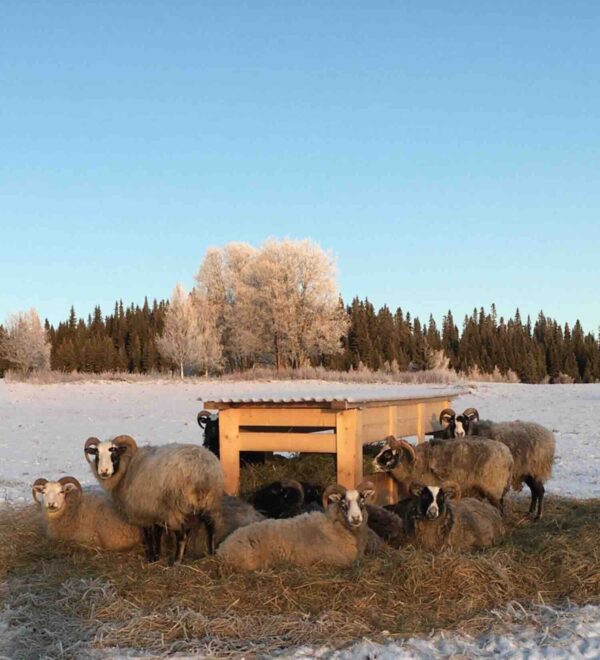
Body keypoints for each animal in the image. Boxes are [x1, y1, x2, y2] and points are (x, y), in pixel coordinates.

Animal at [83, 434, 224, 564]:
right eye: (97, 454)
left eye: (114, 453)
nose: (104, 471)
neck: (126, 470)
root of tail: (202, 471)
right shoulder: (156, 510)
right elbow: (158, 534)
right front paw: (157, 555)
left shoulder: (144, 512)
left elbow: (149, 536)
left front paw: (151, 558)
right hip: (208, 503)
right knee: (211, 527)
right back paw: (211, 553)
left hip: (177, 507)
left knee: (182, 535)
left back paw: (176, 562)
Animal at [372, 436, 512, 512]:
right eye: (382, 450)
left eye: (388, 454)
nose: (372, 463)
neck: (416, 463)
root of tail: (508, 454)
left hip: (493, 487)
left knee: (500, 507)